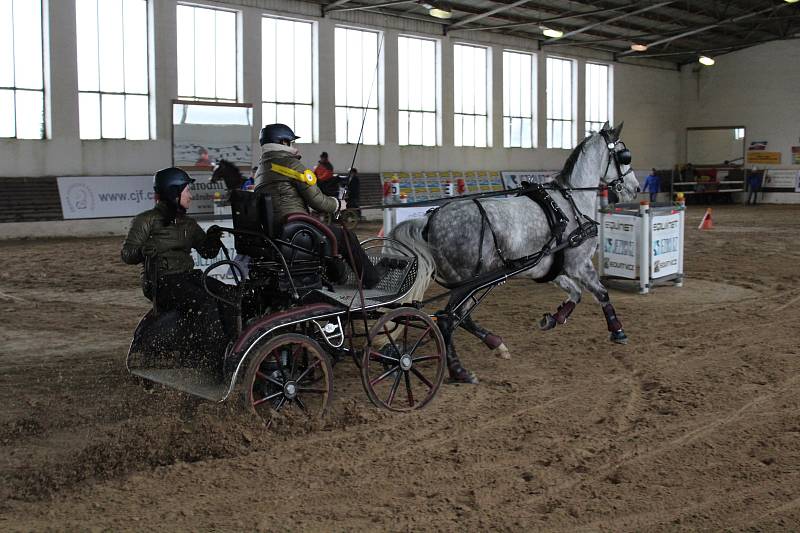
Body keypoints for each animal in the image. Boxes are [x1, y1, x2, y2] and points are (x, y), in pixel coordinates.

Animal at [390, 124, 640, 382]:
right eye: (625, 155)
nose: (635, 188)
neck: (571, 203)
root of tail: (431, 220)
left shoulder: (550, 269)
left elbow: (576, 294)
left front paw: (554, 318)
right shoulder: (579, 264)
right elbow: (602, 293)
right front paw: (618, 331)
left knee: (460, 317)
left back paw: (495, 343)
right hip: (466, 283)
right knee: (448, 320)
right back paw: (459, 370)